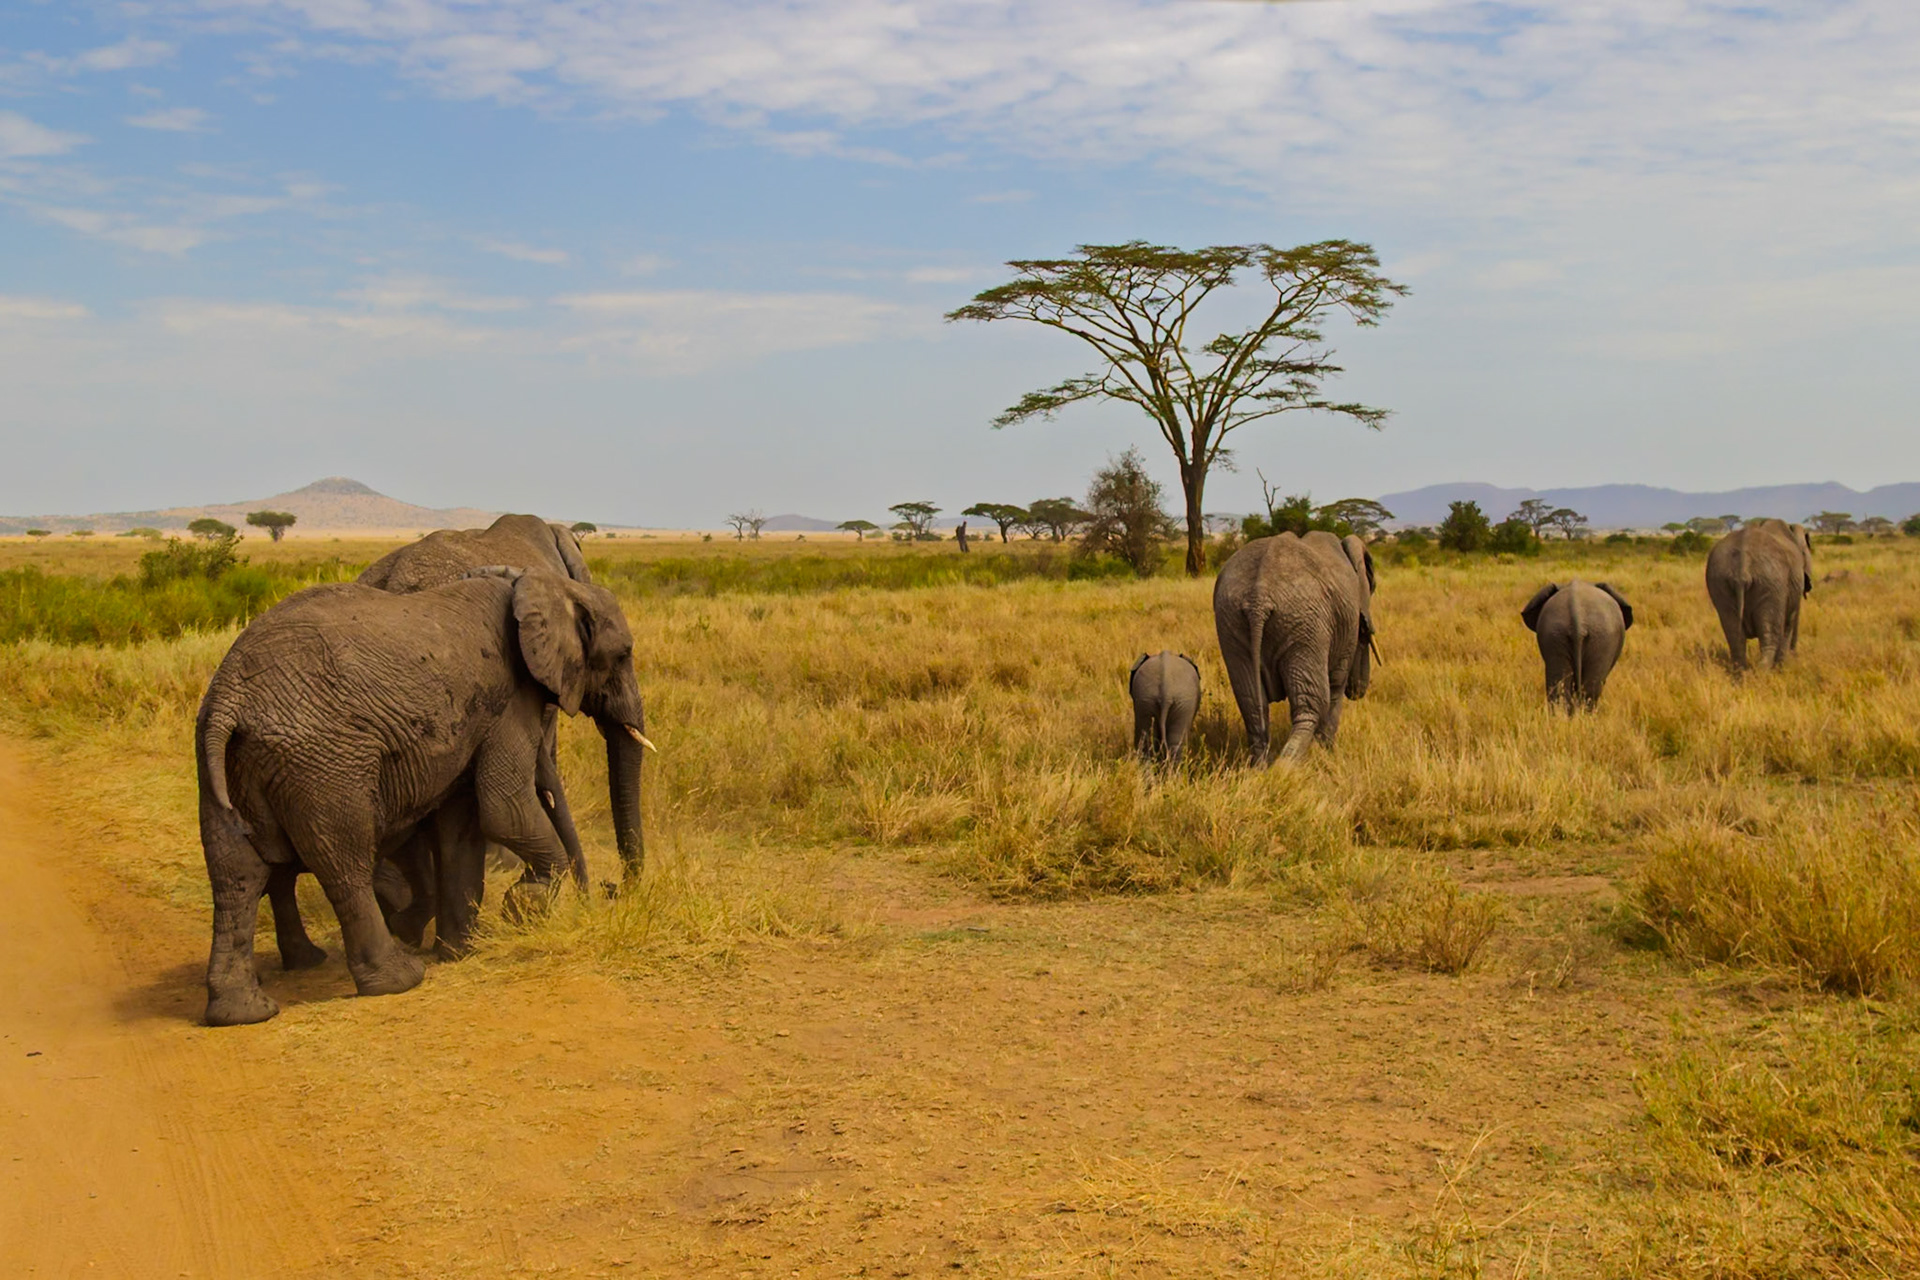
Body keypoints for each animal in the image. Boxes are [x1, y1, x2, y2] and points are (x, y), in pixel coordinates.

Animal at [195, 568, 649, 1026]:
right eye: (623, 655)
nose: (611, 890)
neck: (532, 583)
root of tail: (230, 699)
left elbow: (462, 828)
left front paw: (461, 951)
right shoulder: (508, 701)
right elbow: (503, 808)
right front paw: (523, 907)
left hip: (225, 763)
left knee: (236, 874)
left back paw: (245, 1010)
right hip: (324, 764)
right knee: (345, 863)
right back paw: (399, 978)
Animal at [1213, 531, 1377, 766]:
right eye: (1363, 634)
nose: (1358, 691)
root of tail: (1258, 598)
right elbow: (1336, 685)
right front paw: (1327, 754)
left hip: (1231, 621)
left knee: (1251, 702)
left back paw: (1260, 768)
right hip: (1305, 625)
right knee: (1312, 703)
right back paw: (1285, 767)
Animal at [1705, 518, 1813, 670]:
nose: (1795, 655)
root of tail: (1743, 563)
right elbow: (1788, 623)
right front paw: (1781, 667)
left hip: (1719, 580)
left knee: (1735, 637)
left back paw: (1741, 674)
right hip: (1771, 582)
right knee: (1770, 638)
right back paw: (1764, 673)